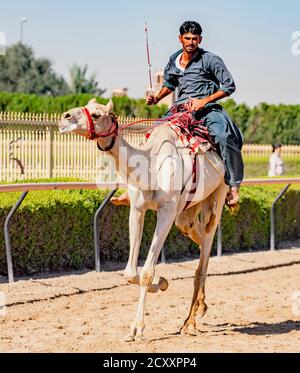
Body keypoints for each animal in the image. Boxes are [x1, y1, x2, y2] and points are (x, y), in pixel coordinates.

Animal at [58, 98, 227, 340]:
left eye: (97, 114)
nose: (65, 118)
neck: (150, 168)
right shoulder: (138, 208)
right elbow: (130, 272)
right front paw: (163, 283)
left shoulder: (166, 211)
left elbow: (147, 271)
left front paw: (136, 328)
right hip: (189, 206)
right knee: (192, 229)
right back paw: (200, 307)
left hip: (219, 192)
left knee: (208, 238)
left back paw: (190, 322)